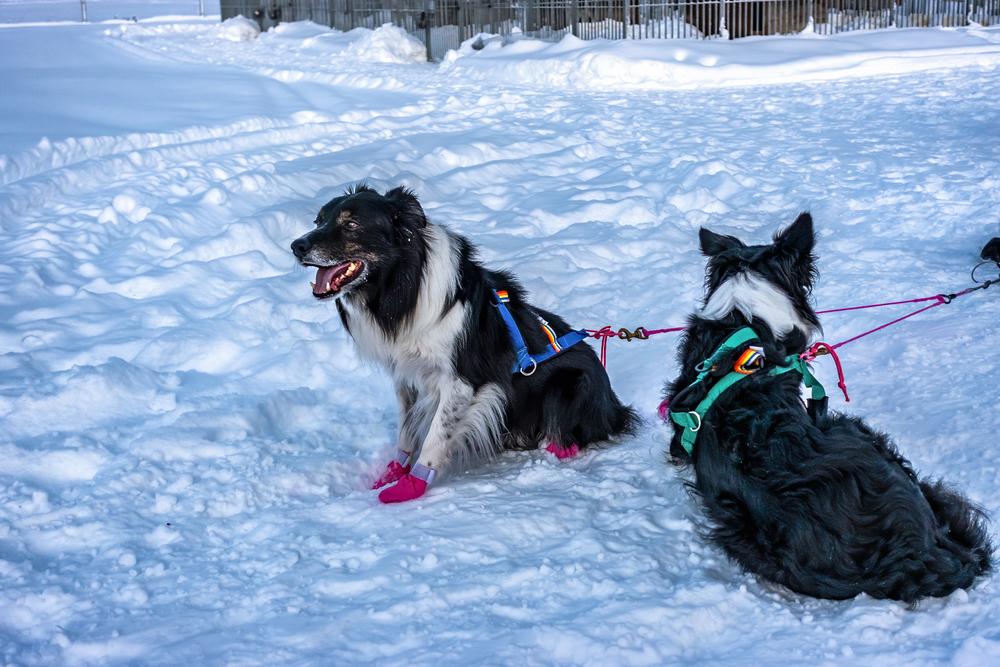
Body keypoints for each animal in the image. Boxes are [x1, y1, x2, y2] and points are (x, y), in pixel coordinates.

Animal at [290, 185, 636, 504]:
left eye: (351, 224)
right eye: (319, 220)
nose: (297, 246)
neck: (402, 285)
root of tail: (616, 408)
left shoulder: (461, 381)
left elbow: (435, 435)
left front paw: (411, 485)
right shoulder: (407, 376)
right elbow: (407, 429)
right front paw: (393, 472)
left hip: (570, 386)